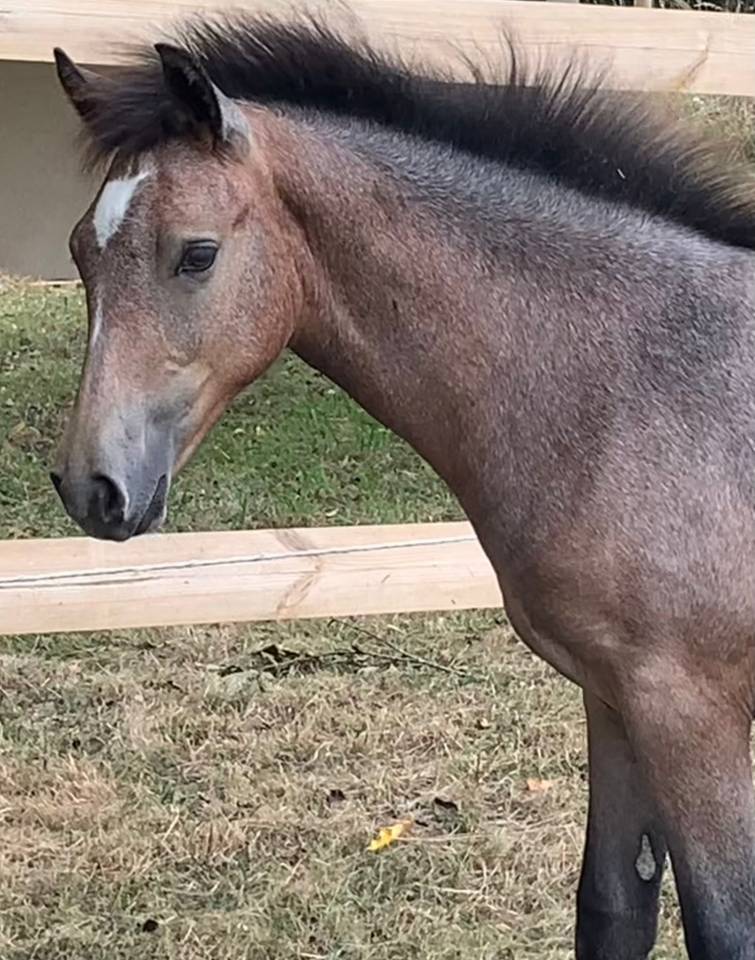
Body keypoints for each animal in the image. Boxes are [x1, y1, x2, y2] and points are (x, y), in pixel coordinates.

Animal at [49, 13, 755, 957]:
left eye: (196, 255)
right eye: (80, 252)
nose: (91, 485)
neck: (634, 387)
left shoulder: (690, 714)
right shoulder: (614, 698)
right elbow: (612, 906)